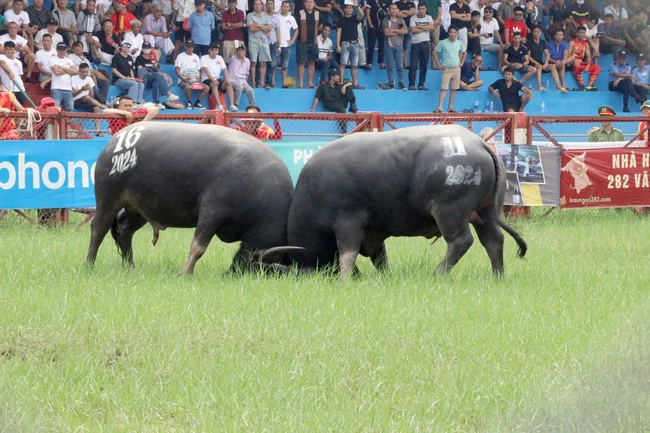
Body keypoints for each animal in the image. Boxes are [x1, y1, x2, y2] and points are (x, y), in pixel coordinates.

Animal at [85, 121, 292, 272]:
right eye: (260, 265)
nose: (232, 272)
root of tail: (114, 141)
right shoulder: (212, 212)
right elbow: (198, 246)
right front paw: (185, 272)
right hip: (108, 198)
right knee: (98, 228)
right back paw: (89, 263)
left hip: (139, 208)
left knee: (124, 228)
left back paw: (130, 266)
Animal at [288, 123, 528, 278]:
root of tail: (479, 143)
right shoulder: (373, 229)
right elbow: (379, 256)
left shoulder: (347, 222)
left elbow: (348, 253)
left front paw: (344, 279)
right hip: (486, 212)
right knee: (494, 239)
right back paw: (498, 275)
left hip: (450, 211)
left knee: (461, 241)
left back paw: (438, 273)